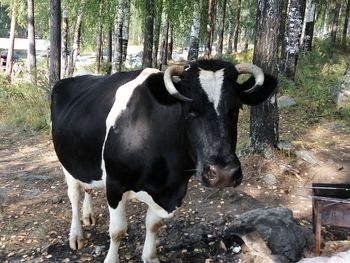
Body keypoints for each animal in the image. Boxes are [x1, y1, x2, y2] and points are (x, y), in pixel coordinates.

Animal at [50, 59, 278, 263]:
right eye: (190, 110)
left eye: (236, 109)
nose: (223, 174)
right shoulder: (115, 184)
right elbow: (117, 231)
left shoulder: (169, 191)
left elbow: (153, 225)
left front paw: (150, 257)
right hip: (66, 162)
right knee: (74, 194)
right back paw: (76, 235)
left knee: (88, 186)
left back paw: (88, 216)